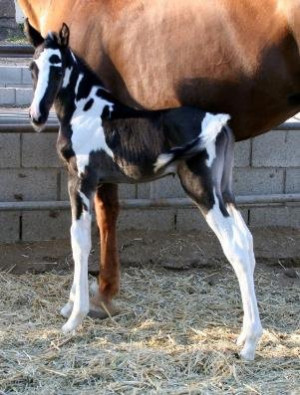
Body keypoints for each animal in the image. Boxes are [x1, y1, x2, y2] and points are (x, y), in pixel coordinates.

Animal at [18, 0, 300, 358]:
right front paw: (75, 306)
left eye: (58, 68)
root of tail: (222, 123)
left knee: (235, 247)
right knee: (247, 243)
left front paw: (74, 317)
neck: (88, 111)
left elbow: (79, 240)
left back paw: (249, 345)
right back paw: (244, 337)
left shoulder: (81, 181)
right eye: (33, 66)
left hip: (202, 190)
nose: (36, 116)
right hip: (224, 190)